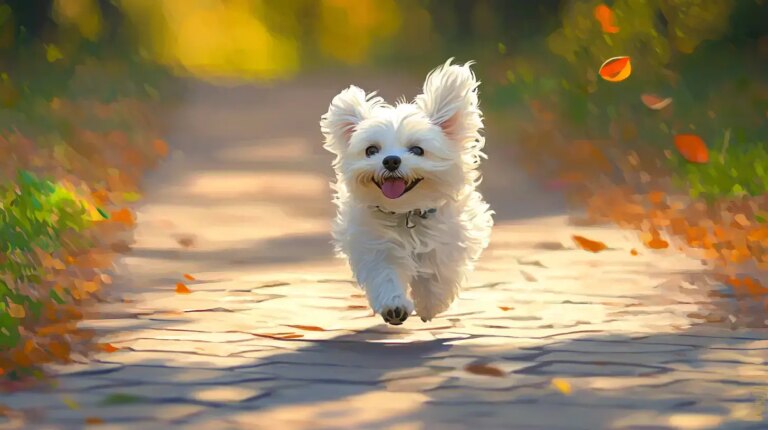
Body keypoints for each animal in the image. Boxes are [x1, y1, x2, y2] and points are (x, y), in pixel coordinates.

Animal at [320, 58, 496, 324]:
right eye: (371, 150)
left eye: (417, 150)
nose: (391, 161)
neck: (406, 212)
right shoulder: (376, 245)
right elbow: (386, 274)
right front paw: (395, 307)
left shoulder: (449, 240)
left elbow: (437, 274)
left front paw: (430, 304)